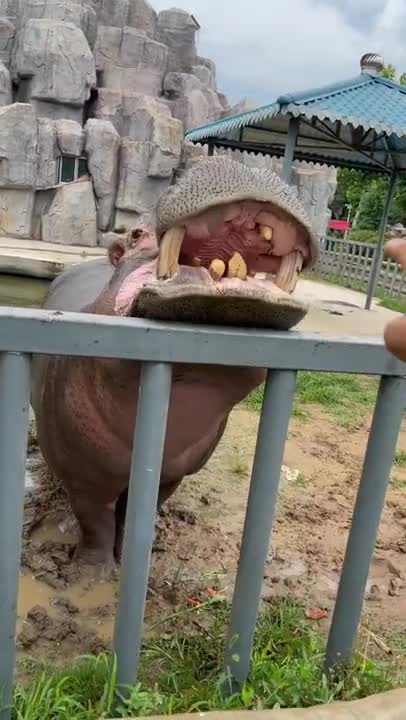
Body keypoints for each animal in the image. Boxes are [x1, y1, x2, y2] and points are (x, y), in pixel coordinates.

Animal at [31, 157, 319, 573]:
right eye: (136, 235)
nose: (247, 165)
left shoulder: (171, 474)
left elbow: (136, 513)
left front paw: (137, 554)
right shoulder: (86, 479)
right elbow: (96, 522)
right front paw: (94, 574)